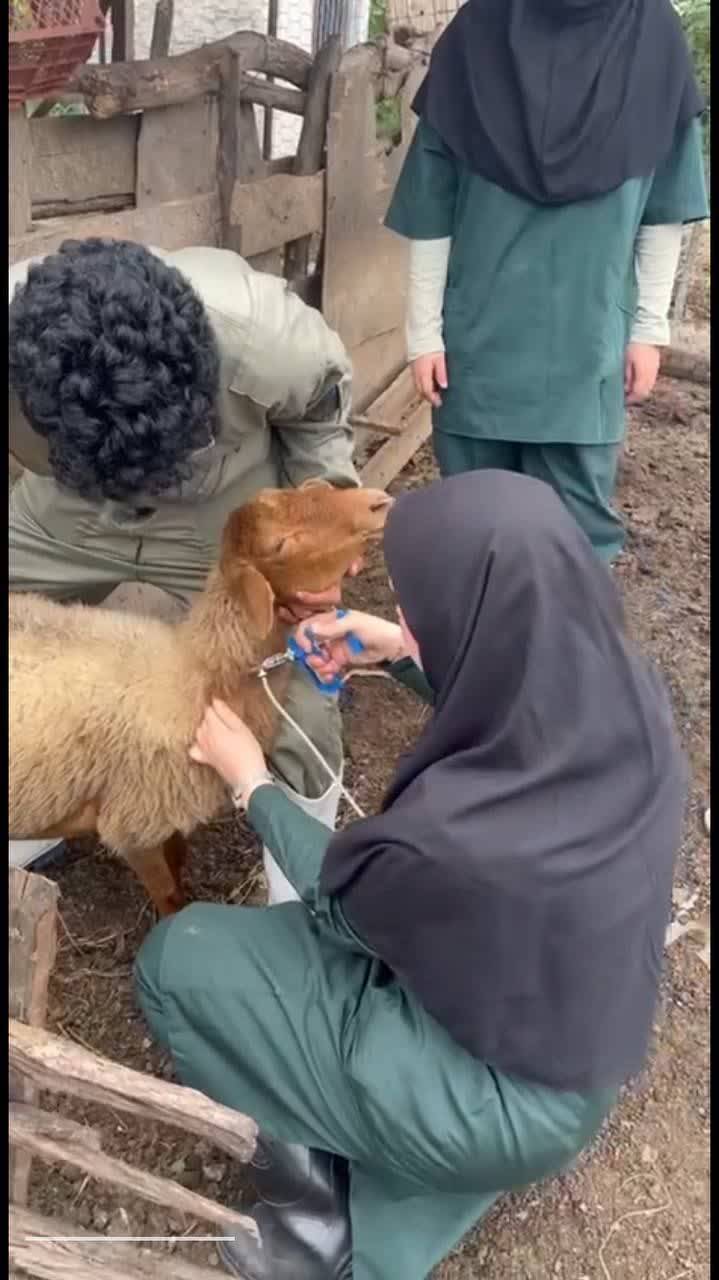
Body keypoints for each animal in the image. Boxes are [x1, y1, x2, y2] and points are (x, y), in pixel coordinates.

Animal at [8, 483, 388, 916]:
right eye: (280, 544)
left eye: (313, 488)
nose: (379, 502)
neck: (202, 675)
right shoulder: (133, 825)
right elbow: (169, 894)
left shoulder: (167, 815)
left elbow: (179, 862)